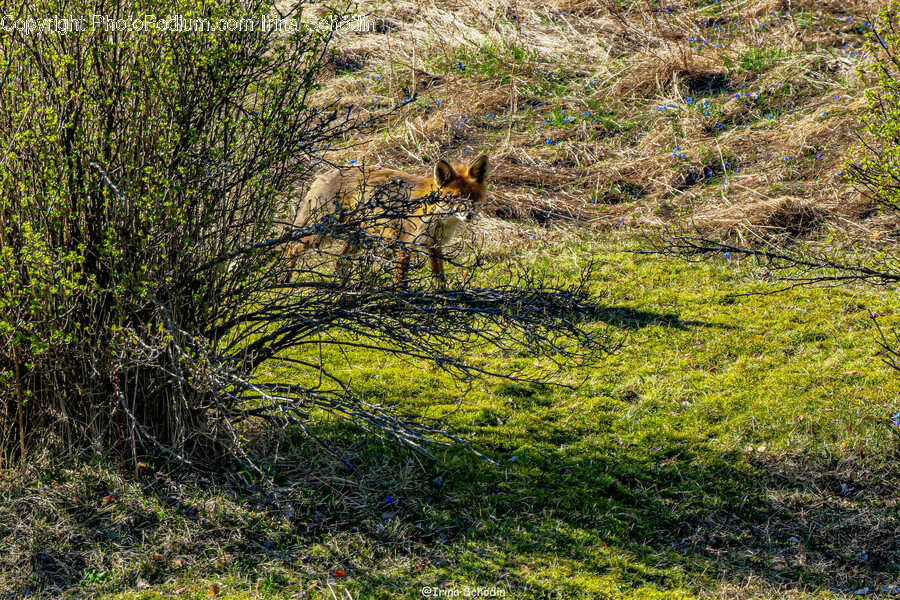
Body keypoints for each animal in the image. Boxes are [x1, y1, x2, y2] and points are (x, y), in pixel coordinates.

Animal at [285, 155, 490, 286]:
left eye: (473, 198)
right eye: (454, 198)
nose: (469, 215)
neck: (438, 218)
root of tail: (325, 174)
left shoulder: (435, 245)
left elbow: (440, 279)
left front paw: (442, 305)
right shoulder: (405, 243)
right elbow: (401, 281)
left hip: (358, 235)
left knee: (341, 261)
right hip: (325, 230)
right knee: (293, 248)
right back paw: (283, 283)